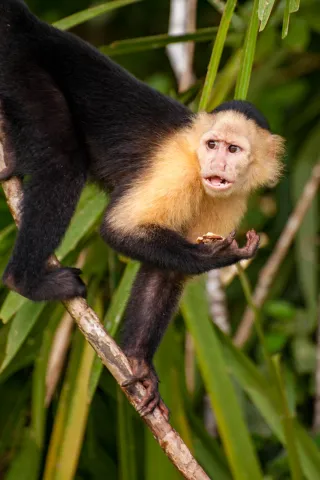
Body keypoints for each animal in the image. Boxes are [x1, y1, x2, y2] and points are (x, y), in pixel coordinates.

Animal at [0, 0, 284, 418]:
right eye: (212, 145)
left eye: (233, 150)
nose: (216, 164)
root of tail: (32, 28)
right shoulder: (177, 168)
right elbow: (119, 229)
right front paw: (216, 257)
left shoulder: (231, 197)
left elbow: (164, 273)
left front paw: (138, 362)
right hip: (22, 70)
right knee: (63, 164)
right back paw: (25, 281)